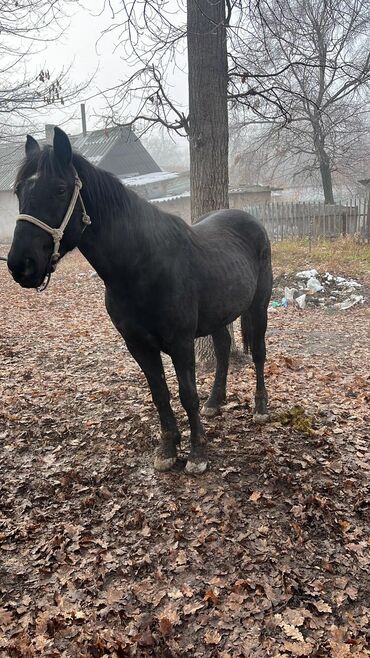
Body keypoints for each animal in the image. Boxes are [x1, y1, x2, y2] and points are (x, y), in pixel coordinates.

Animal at [6, 125, 272, 472]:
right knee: (224, 348)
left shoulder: (180, 342)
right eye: (19, 190)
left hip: (259, 306)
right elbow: (159, 394)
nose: (20, 265)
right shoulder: (138, 345)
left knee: (258, 353)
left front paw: (197, 453)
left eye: (61, 190)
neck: (141, 266)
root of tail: (249, 220)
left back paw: (261, 408)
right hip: (219, 313)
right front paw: (168, 449)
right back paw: (215, 402)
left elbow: (187, 394)